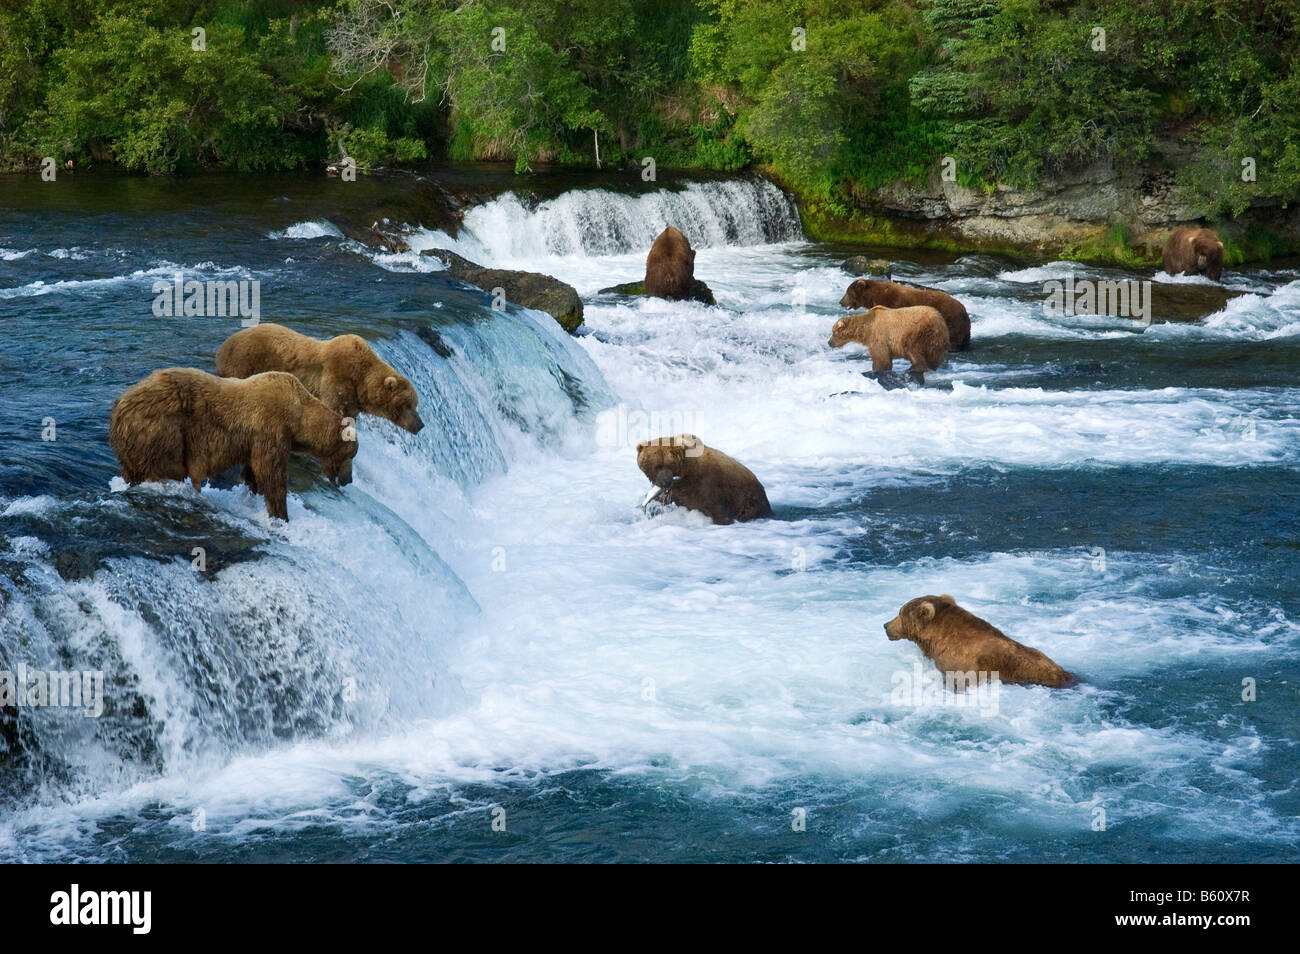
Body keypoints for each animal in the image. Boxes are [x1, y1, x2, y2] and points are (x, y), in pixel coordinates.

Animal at [109, 368, 358, 521]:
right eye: (351, 455)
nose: (349, 479)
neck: (298, 417)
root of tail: (120, 406)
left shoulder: (255, 440)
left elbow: (254, 472)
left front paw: (254, 494)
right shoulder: (271, 427)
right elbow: (272, 474)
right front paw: (281, 515)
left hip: (134, 447)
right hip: (164, 432)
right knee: (168, 469)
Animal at [215, 323, 424, 434]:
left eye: (415, 404)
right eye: (407, 405)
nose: (420, 425)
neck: (361, 381)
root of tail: (224, 345)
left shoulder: (352, 400)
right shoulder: (337, 378)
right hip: (245, 362)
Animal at [636, 434, 772, 525]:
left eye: (670, 464)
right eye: (657, 465)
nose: (665, 481)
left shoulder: (706, 485)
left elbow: (715, 510)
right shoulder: (675, 491)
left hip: (749, 500)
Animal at [839, 279, 971, 350]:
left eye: (847, 292)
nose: (840, 301)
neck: (875, 297)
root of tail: (964, 309)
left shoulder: (893, 304)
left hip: (950, 317)